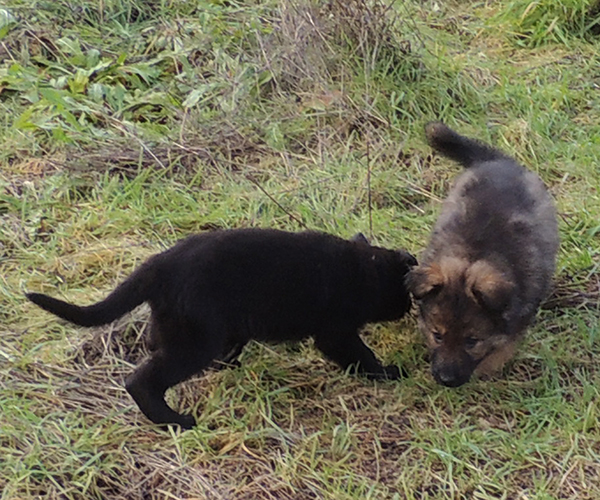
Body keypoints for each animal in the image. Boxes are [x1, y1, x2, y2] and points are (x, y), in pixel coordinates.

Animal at [28, 229, 418, 428]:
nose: (407, 310)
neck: (364, 268)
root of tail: (159, 264)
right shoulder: (336, 333)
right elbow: (361, 356)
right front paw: (388, 373)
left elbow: (237, 342)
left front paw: (230, 362)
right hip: (195, 342)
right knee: (141, 380)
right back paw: (176, 421)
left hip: (177, 326)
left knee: (153, 346)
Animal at [406, 123, 560, 388]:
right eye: (437, 335)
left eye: (471, 341)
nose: (446, 380)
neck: (472, 256)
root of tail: (499, 161)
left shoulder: (518, 317)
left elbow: (504, 346)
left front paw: (487, 369)